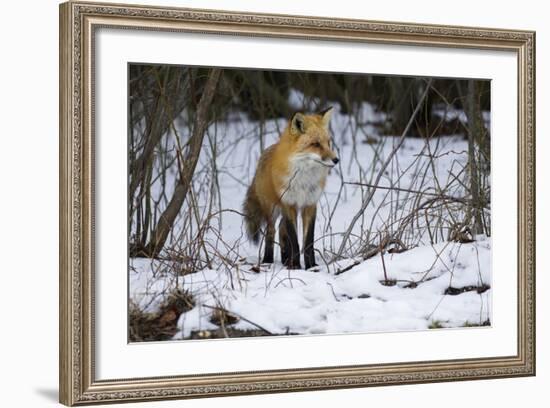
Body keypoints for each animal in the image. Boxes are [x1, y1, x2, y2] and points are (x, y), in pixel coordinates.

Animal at [244, 108, 338, 270]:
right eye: (316, 144)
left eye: (328, 143)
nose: (336, 160)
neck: (303, 180)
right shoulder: (289, 204)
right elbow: (294, 240)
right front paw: (296, 267)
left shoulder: (310, 204)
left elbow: (308, 242)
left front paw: (311, 266)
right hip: (272, 209)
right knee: (271, 231)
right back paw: (268, 260)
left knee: (282, 229)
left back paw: (285, 259)